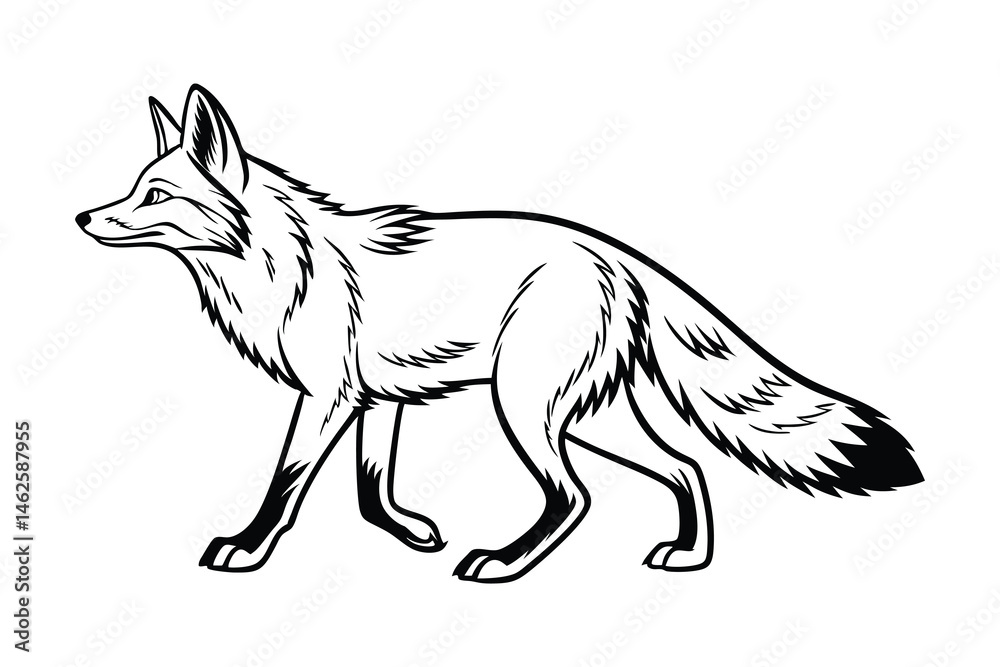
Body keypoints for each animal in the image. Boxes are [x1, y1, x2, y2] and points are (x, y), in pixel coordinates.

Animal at [76, 84, 923, 583]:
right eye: (131, 188)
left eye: (155, 195)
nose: (83, 217)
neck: (278, 266)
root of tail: (618, 256)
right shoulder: (379, 398)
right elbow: (370, 489)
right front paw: (408, 532)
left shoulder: (326, 398)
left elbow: (286, 485)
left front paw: (247, 549)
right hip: (588, 419)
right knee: (685, 468)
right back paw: (688, 556)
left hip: (523, 409)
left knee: (576, 497)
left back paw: (507, 563)